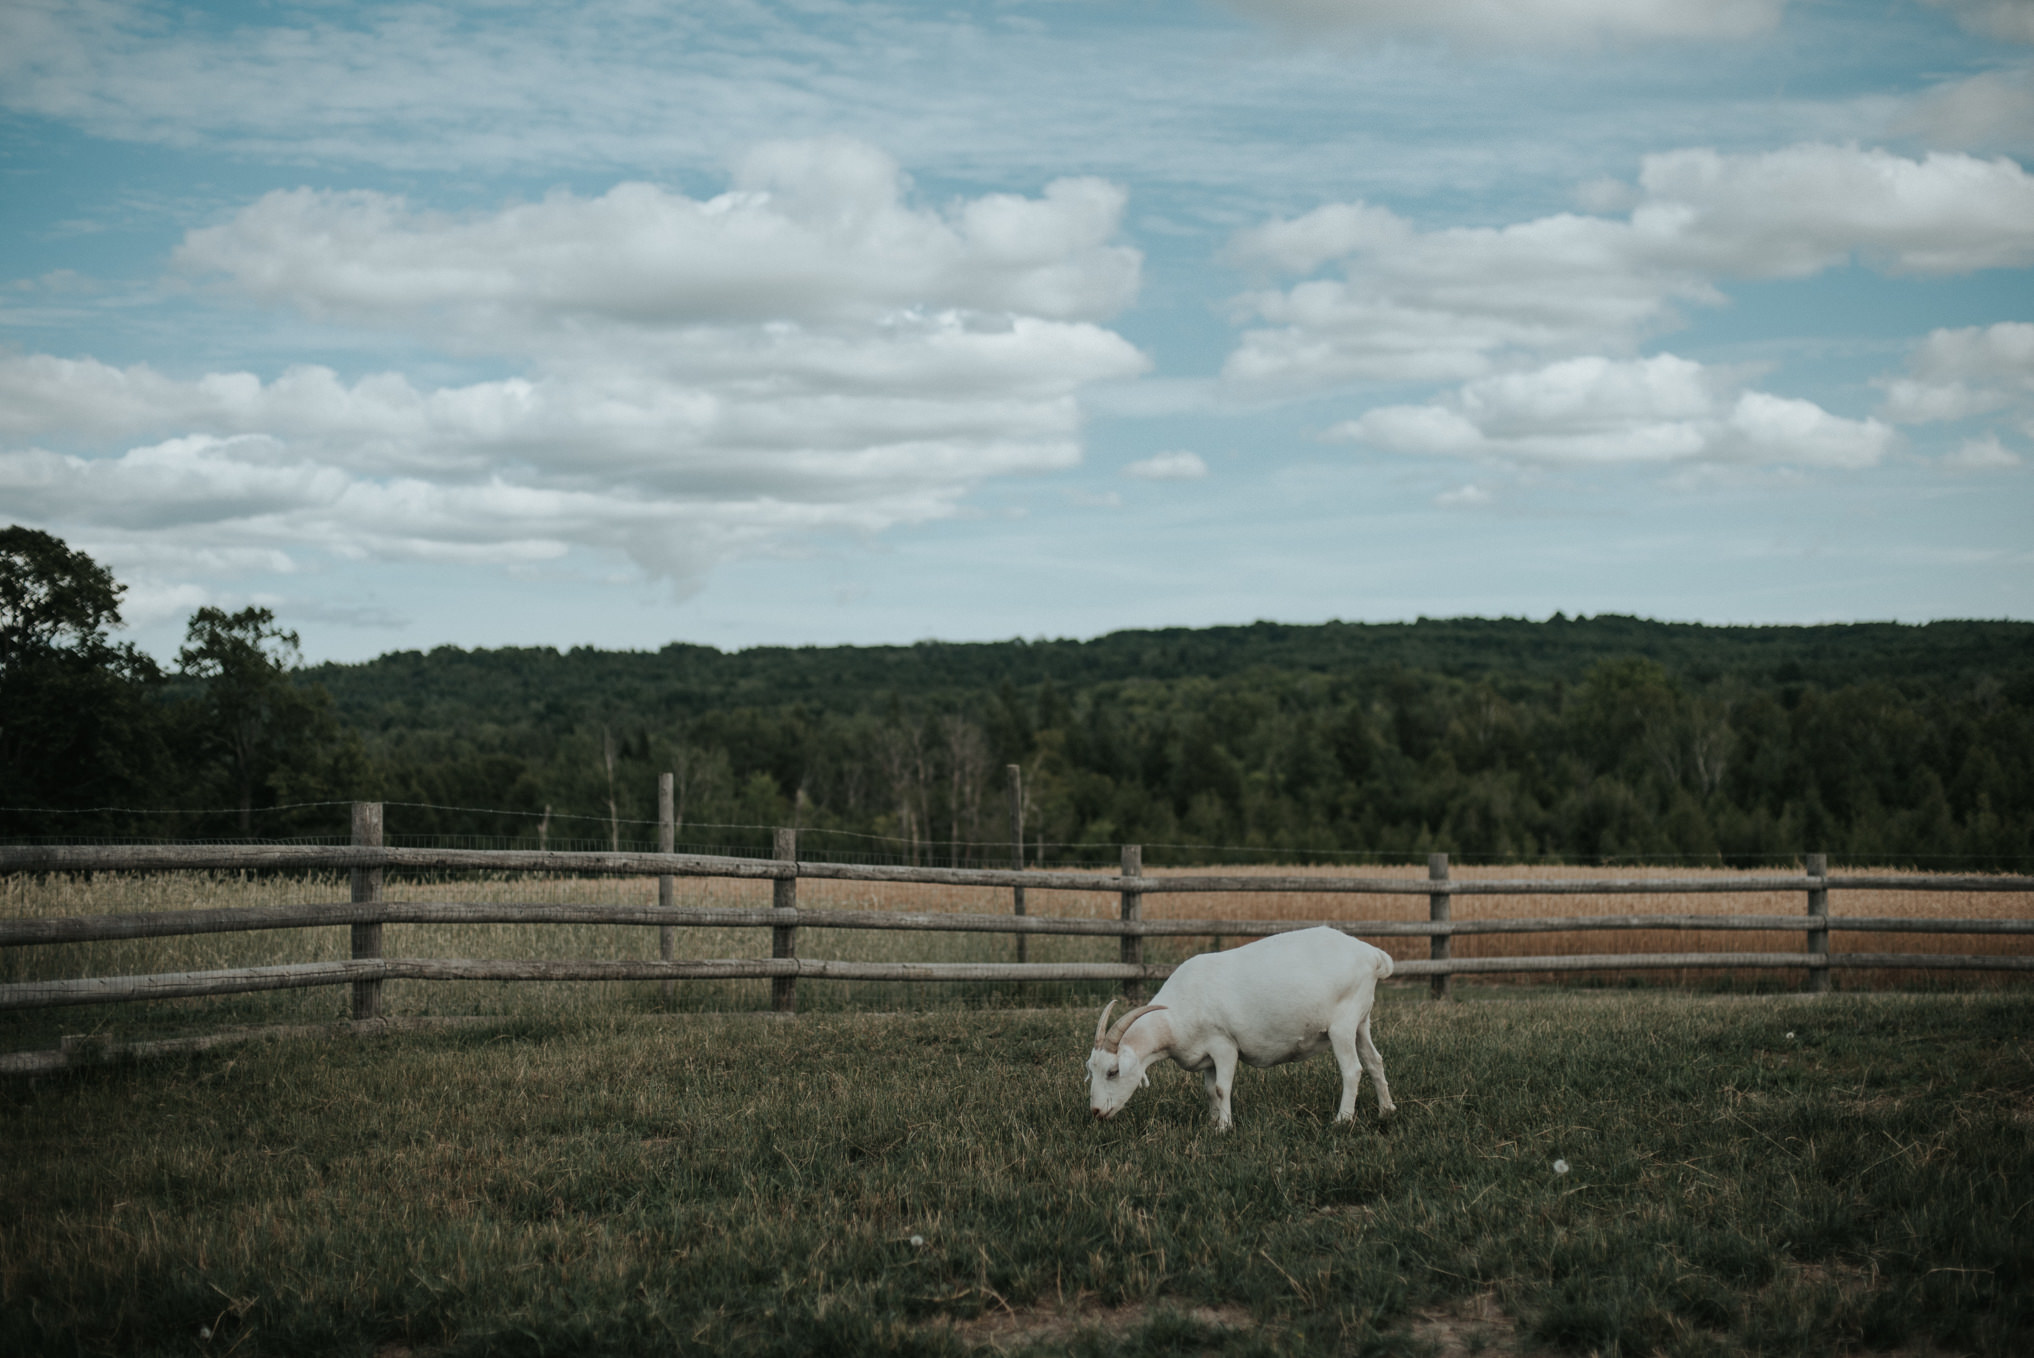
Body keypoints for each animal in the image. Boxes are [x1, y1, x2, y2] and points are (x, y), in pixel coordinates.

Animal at [1082, 922, 1399, 1138]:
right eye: (1091, 1070)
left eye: (1113, 1071)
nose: (1096, 1112)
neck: (1175, 1015)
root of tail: (1372, 955)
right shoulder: (1206, 1056)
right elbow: (1210, 1090)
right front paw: (1212, 1122)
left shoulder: (1224, 1045)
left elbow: (1222, 1088)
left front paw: (1224, 1128)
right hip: (1361, 1022)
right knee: (1374, 1061)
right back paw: (1386, 1111)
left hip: (1342, 1025)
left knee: (1353, 1070)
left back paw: (1342, 1120)